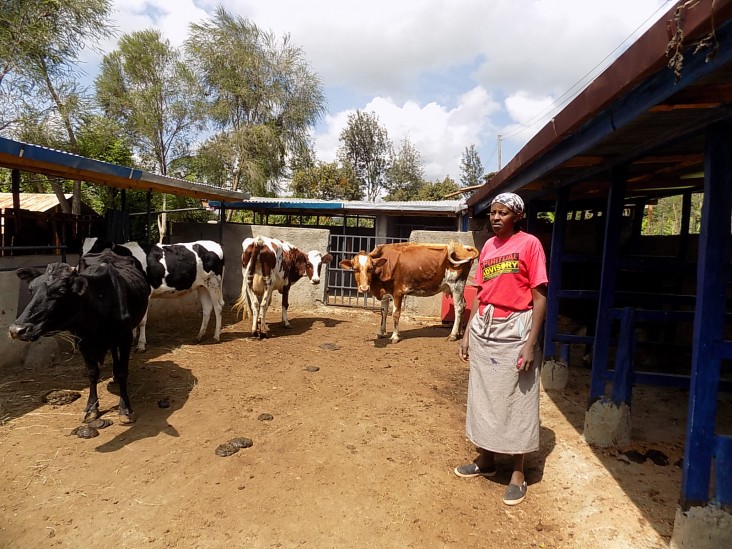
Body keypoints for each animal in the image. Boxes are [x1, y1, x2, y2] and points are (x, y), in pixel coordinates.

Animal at [9, 250, 149, 422]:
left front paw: (125, 409)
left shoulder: (125, 338)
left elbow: (122, 372)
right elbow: (92, 372)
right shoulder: (83, 341)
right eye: (31, 290)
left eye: (61, 291)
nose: (17, 330)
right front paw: (92, 408)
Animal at [84, 237, 224, 352]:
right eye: (83, 248)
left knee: (218, 307)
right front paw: (133, 339)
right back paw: (199, 336)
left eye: (97, 249)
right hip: (202, 286)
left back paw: (216, 336)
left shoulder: (146, 293)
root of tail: (215, 243)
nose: (84, 264)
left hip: (214, 284)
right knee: (207, 309)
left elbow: (142, 321)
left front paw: (141, 345)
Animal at [338, 241, 478, 340]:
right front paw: (381, 332)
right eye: (355, 268)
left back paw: (453, 335)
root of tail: (464, 247)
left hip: (456, 285)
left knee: (458, 308)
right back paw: (459, 332)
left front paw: (395, 336)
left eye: (370, 267)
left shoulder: (398, 293)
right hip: (457, 288)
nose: (364, 288)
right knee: (464, 305)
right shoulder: (386, 293)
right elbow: (384, 312)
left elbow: (395, 314)